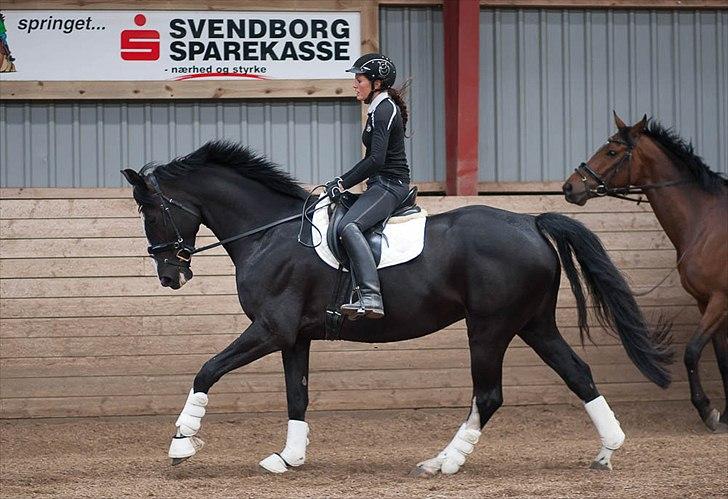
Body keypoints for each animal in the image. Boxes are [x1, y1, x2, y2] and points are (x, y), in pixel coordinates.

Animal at [122, 141, 672, 476]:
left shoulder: (270, 329)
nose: (170, 276)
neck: (269, 233)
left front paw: (181, 442)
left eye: (150, 210)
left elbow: (207, 369)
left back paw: (441, 463)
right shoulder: (294, 336)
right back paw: (607, 449)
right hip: (533, 324)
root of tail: (530, 222)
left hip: (489, 328)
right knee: (577, 373)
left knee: (488, 396)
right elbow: (297, 395)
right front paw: (288, 457)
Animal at [560, 113, 724, 434]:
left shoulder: (721, 300)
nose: (570, 188)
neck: (705, 223)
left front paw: (706, 409)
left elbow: (692, 351)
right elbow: (723, 360)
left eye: (611, 152)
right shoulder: (705, 301)